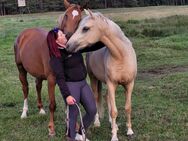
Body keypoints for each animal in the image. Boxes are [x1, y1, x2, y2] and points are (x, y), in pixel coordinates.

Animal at [14, 0, 85, 137]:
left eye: (79, 18)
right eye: (66, 15)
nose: (68, 36)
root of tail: (23, 34)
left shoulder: (65, 80)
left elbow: (69, 102)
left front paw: (73, 125)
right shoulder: (52, 79)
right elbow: (53, 104)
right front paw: (51, 128)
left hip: (38, 73)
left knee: (38, 86)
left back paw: (41, 109)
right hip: (21, 69)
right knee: (25, 88)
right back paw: (24, 113)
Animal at [66, 10, 137, 140]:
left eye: (85, 28)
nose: (68, 45)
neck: (121, 55)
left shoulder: (129, 84)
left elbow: (128, 108)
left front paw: (129, 131)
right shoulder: (111, 83)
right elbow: (114, 111)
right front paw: (114, 136)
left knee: (106, 97)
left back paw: (112, 124)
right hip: (94, 79)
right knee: (96, 98)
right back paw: (97, 122)